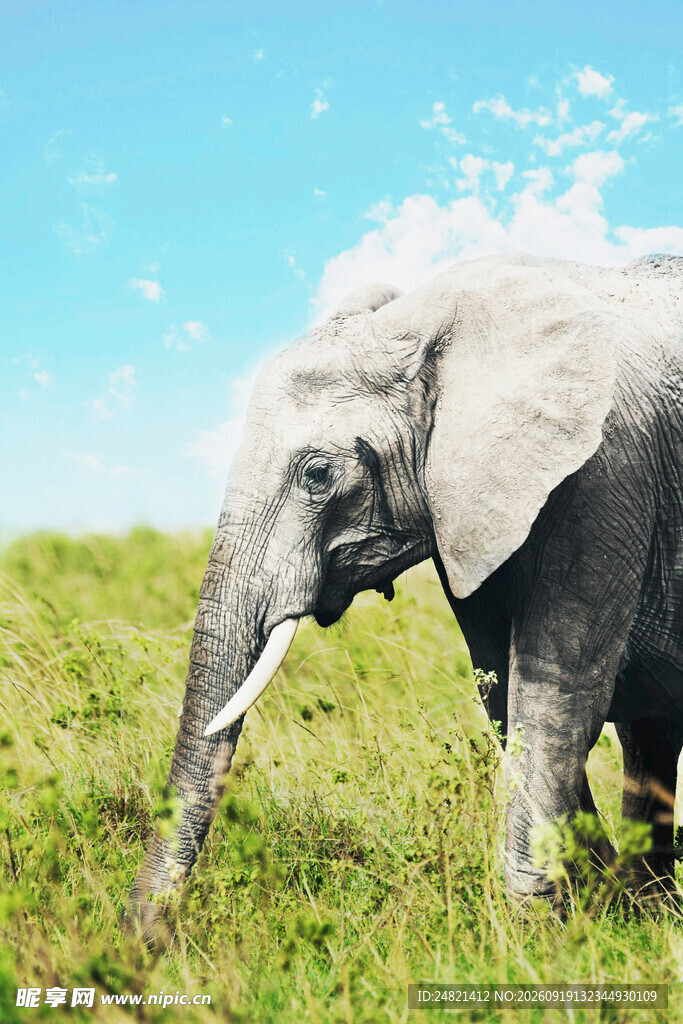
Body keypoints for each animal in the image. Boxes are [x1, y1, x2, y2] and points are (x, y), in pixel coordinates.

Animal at [129, 251, 683, 933]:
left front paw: (537, 929)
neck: (427, 322)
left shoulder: (606, 473)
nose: (146, 940)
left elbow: (555, 689)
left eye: (318, 475)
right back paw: (651, 900)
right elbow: (502, 688)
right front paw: (598, 899)